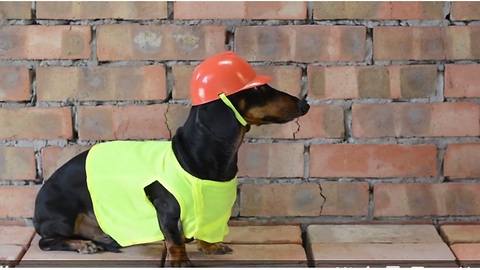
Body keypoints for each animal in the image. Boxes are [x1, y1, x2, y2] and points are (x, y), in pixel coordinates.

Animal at [33, 51, 312, 266]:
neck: (192, 155)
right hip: (63, 217)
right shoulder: (166, 207)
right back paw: (82, 245)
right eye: (259, 88)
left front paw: (210, 246)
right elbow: (174, 237)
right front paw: (180, 259)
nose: (305, 106)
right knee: (46, 241)